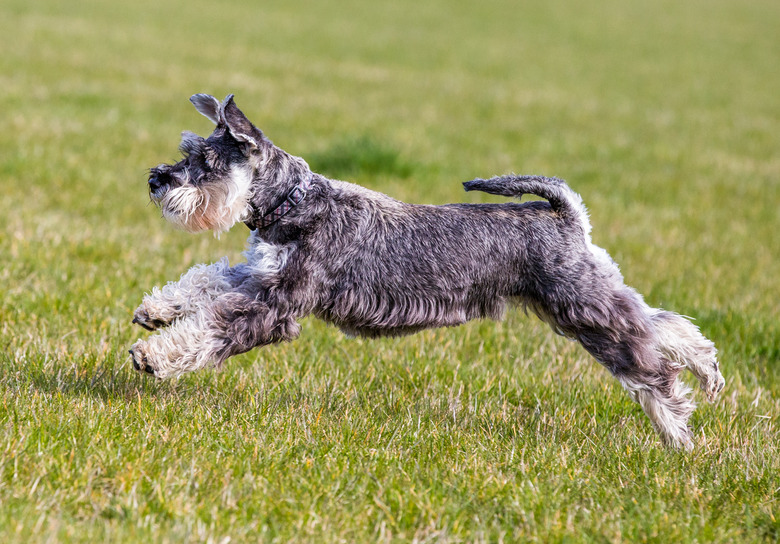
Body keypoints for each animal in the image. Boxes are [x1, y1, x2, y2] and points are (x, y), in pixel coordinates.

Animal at [129, 94, 724, 450]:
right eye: (188, 150)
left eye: (205, 161)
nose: (156, 179)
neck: (292, 204)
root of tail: (565, 215)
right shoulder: (257, 278)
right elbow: (205, 280)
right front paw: (156, 310)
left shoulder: (275, 304)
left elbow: (210, 328)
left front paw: (152, 356)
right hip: (591, 296)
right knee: (663, 324)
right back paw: (709, 372)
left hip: (582, 306)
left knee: (650, 366)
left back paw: (677, 433)